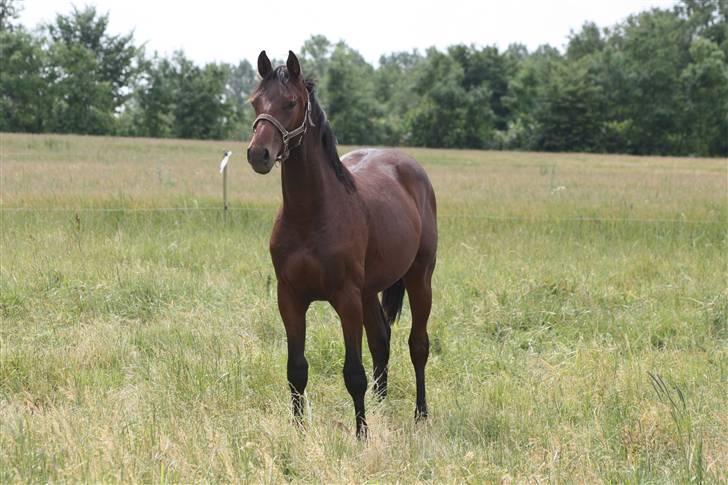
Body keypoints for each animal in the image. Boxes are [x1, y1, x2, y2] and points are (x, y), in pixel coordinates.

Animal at [245, 50, 438, 438]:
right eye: (256, 101)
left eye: (290, 102)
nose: (258, 154)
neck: (311, 215)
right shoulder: (290, 298)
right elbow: (296, 369)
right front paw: (299, 431)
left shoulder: (345, 298)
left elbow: (353, 374)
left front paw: (361, 435)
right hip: (368, 291)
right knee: (381, 340)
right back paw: (382, 406)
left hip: (419, 277)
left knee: (418, 345)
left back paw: (420, 413)